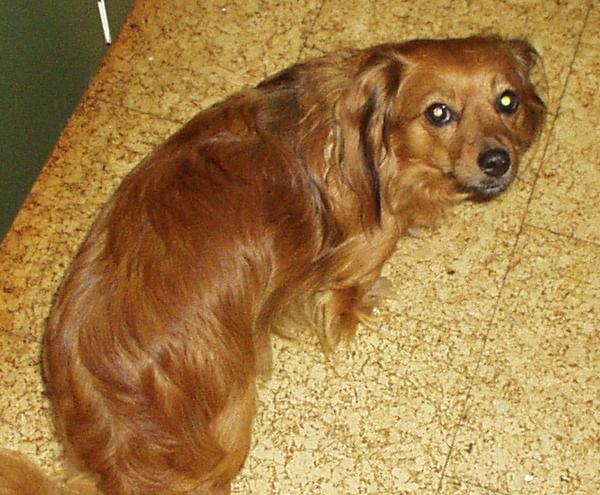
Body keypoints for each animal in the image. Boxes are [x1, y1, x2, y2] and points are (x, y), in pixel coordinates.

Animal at [0, 36, 545, 494]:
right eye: (439, 113)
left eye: (508, 101)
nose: (498, 161)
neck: (372, 136)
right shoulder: (365, 248)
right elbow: (350, 289)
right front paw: (362, 302)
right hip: (231, 421)